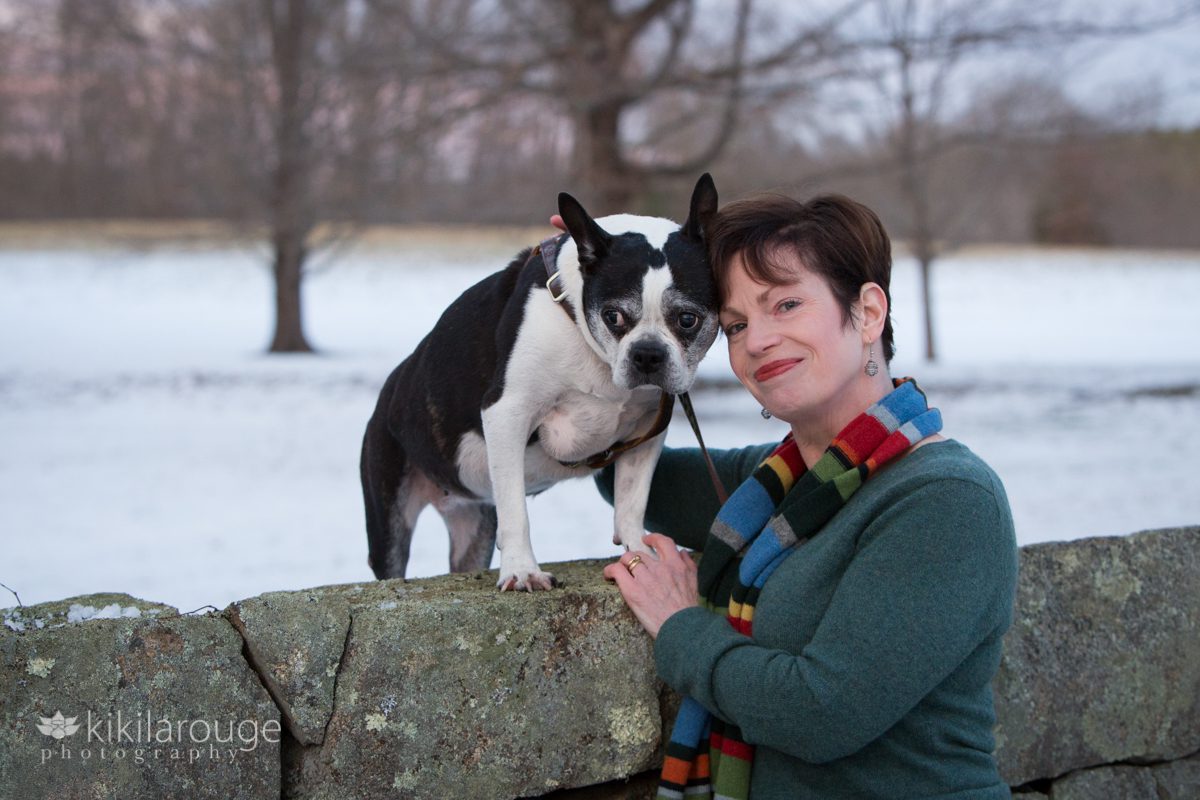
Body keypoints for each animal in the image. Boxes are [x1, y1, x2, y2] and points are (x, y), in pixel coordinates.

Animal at [360, 173, 715, 587]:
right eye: (613, 316)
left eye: (688, 319)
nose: (647, 353)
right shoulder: (508, 412)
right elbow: (516, 509)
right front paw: (521, 570)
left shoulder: (648, 430)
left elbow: (632, 499)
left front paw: (641, 553)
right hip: (390, 510)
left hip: (474, 526)